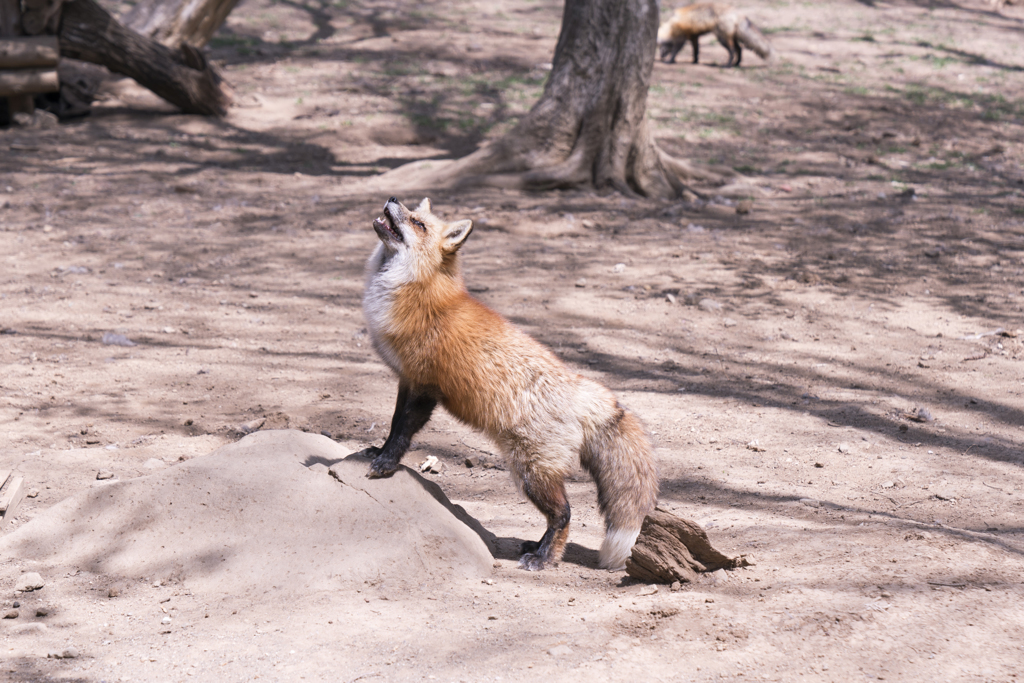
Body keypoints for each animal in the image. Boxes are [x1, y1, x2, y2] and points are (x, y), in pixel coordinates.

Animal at [356, 196, 659, 573]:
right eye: (411, 211)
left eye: (418, 223)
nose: (393, 198)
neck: (417, 296)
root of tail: (589, 394)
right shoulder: (406, 380)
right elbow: (393, 423)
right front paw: (377, 451)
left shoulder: (424, 384)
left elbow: (403, 430)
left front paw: (386, 464)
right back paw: (535, 546)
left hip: (529, 472)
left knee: (564, 514)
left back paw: (543, 558)